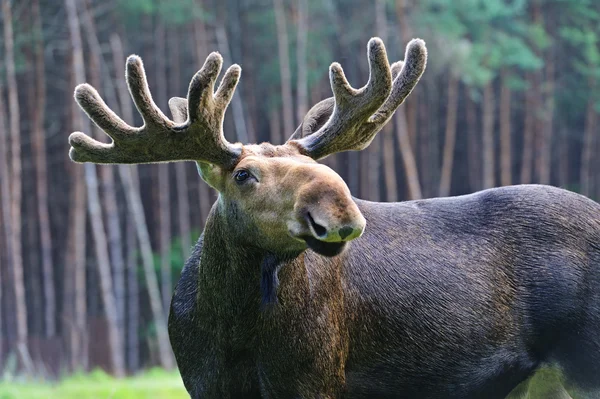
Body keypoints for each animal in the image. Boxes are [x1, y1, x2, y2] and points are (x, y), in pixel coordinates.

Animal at [67, 38, 600, 399]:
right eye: (243, 174)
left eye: (317, 164)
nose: (339, 210)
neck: (234, 327)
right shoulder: (204, 382)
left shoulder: (314, 377)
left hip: (583, 362)